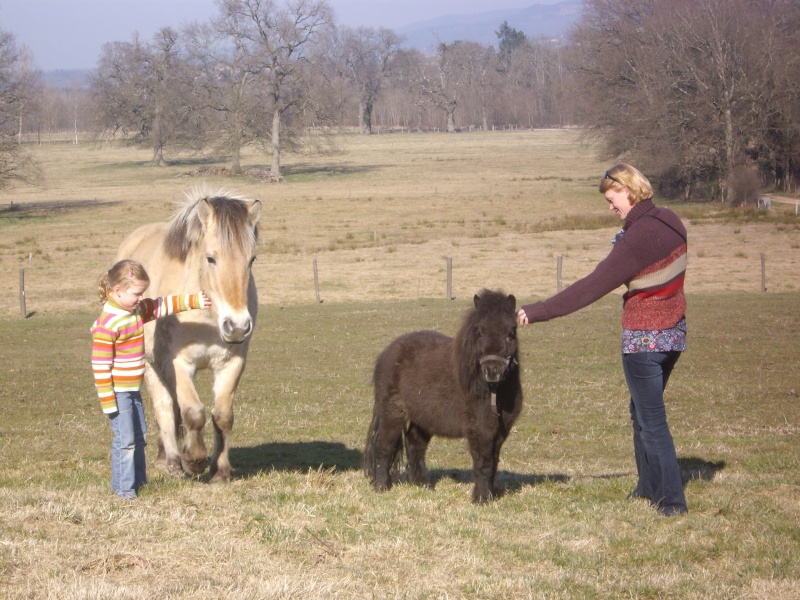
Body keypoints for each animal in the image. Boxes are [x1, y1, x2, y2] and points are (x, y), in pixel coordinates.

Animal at [115, 190, 260, 486]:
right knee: (164, 407)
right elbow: (193, 413)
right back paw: (172, 461)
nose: (237, 326)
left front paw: (220, 471)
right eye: (211, 258)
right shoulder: (178, 364)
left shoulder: (232, 363)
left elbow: (222, 416)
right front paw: (194, 460)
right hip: (150, 365)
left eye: (251, 260)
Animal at [364, 288, 524, 504]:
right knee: (385, 446)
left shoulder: (500, 431)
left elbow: (494, 461)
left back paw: (423, 485)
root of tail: (387, 352)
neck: (493, 391)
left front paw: (489, 495)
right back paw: (382, 487)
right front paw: (481, 499)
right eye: (479, 331)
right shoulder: (479, 428)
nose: (492, 371)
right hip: (392, 412)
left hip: (423, 418)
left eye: (511, 332)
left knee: (414, 445)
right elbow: (483, 462)